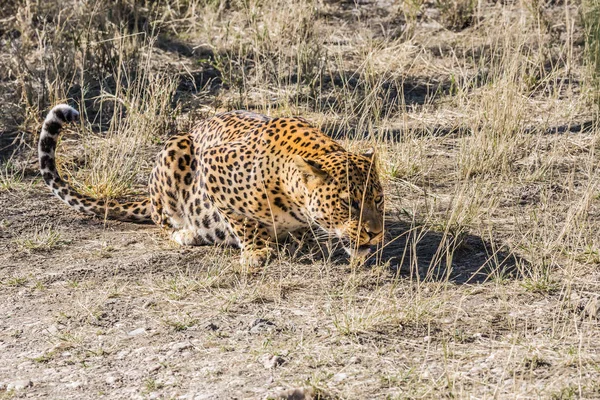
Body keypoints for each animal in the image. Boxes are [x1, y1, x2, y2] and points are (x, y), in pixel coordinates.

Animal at [38, 104, 384, 266]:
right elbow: (244, 223)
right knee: (163, 220)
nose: (375, 233)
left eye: (378, 201)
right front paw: (257, 251)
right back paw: (187, 233)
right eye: (348, 203)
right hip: (174, 151)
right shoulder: (214, 168)